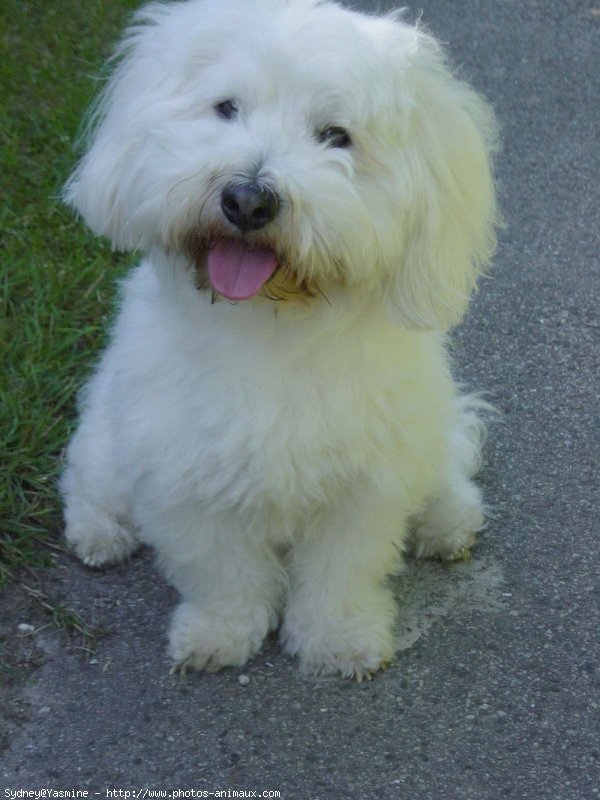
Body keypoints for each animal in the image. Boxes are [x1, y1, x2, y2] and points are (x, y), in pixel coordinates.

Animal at [63, 0, 500, 680]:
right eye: (226, 107)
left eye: (336, 136)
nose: (247, 199)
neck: (272, 327)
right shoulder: (184, 474)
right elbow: (222, 571)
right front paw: (220, 633)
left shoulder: (365, 483)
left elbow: (341, 570)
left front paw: (338, 638)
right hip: (108, 442)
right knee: (89, 480)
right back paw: (100, 532)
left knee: (441, 474)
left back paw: (447, 519)